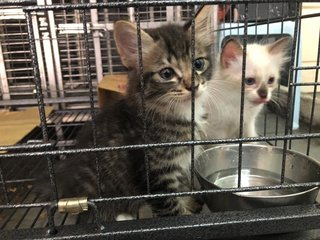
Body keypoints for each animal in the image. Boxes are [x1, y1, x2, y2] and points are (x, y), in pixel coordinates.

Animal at [38, 5, 215, 220]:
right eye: (167, 73)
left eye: (198, 64)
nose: (194, 85)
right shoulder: (153, 175)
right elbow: (172, 210)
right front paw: (184, 215)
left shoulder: (180, 167)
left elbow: (181, 190)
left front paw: (188, 203)